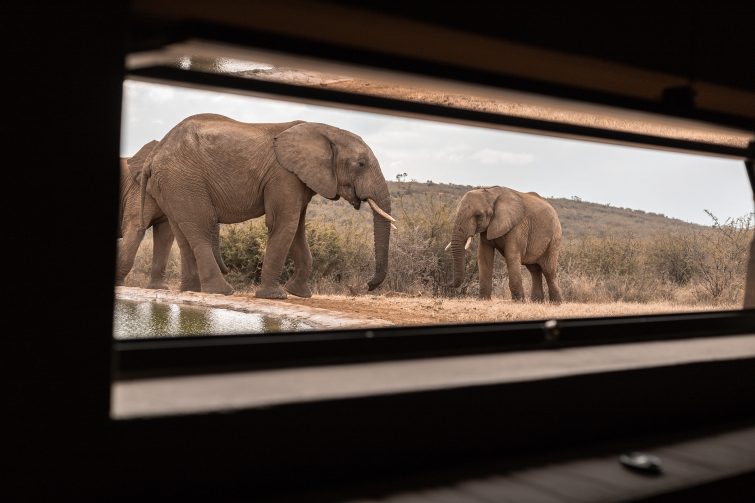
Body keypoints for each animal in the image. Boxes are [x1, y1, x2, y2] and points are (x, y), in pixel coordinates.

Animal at [116, 142, 229, 292]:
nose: (227, 270)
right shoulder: (138, 190)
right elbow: (135, 228)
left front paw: (160, 288)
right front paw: (118, 283)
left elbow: (165, 235)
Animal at [140, 114, 396, 300]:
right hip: (184, 180)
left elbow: (297, 229)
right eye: (361, 164)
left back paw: (191, 290)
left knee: (182, 232)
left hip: (171, 186)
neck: (324, 130)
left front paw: (299, 294)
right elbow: (284, 224)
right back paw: (222, 291)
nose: (368, 285)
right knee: (201, 227)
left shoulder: (298, 180)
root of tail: (154, 155)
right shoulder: (283, 176)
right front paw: (275, 296)